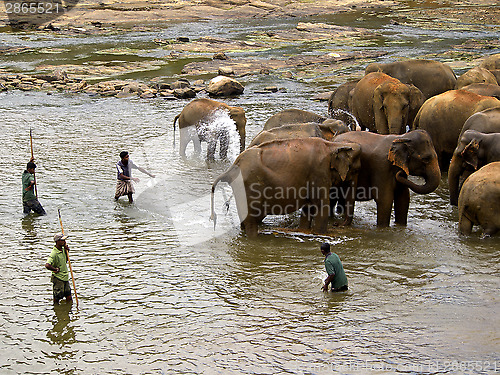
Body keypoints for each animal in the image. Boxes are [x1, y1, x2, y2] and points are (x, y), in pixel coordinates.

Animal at [209, 138, 362, 238]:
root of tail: (232, 167)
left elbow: (309, 207)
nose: (337, 224)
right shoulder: (319, 172)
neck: (332, 145)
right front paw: (321, 234)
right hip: (249, 187)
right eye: (355, 170)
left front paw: (304, 230)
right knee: (251, 221)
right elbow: (321, 206)